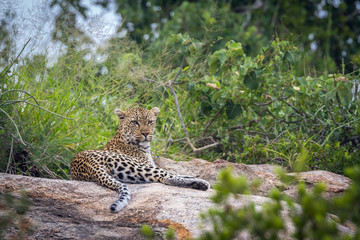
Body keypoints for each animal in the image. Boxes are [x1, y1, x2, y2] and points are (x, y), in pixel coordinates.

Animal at [70, 107, 210, 212]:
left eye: (150, 122)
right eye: (135, 122)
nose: (146, 133)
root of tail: (90, 165)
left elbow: (176, 172)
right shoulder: (147, 164)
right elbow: (170, 173)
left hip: (130, 174)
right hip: (134, 166)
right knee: (164, 177)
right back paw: (202, 183)